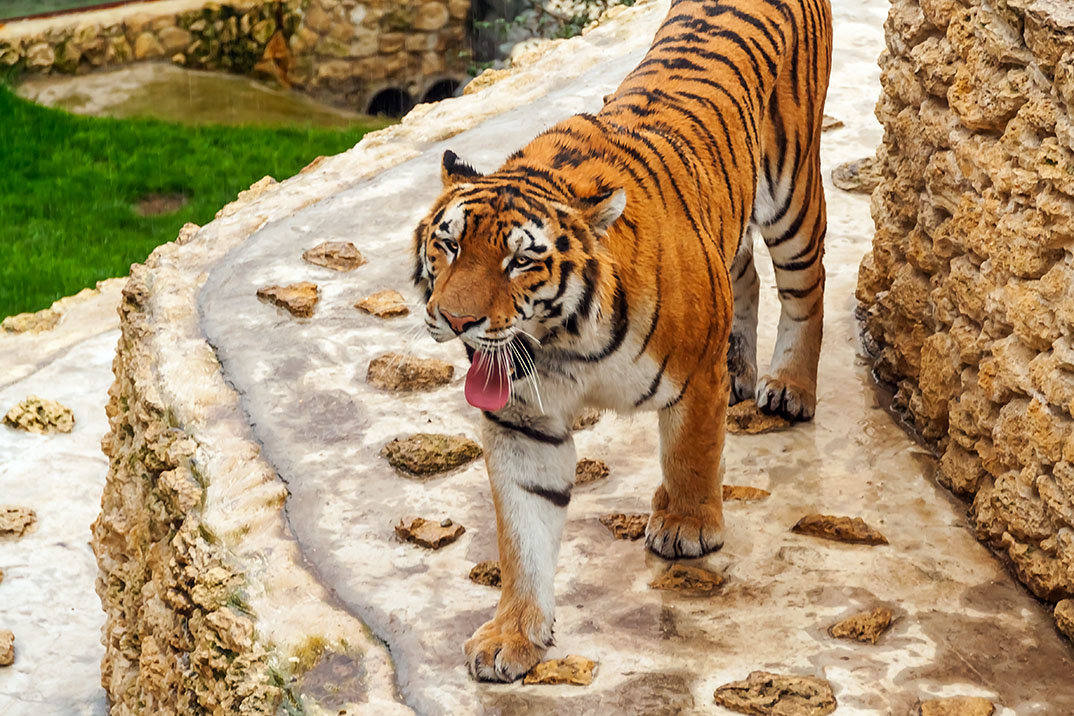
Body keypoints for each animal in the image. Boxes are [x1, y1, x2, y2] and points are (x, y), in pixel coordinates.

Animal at [408, 0, 829, 687]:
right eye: (448, 244)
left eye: (519, 261)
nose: (454, 318)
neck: (563, 343)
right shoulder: (523, 423)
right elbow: (523, 535)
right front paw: (511, 635)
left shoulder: (694, 380)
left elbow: (690, 455)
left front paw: (688, 526)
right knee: (743, 271)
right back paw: (742, 368)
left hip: (791, 195)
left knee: (807, 285)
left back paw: (788, 388)